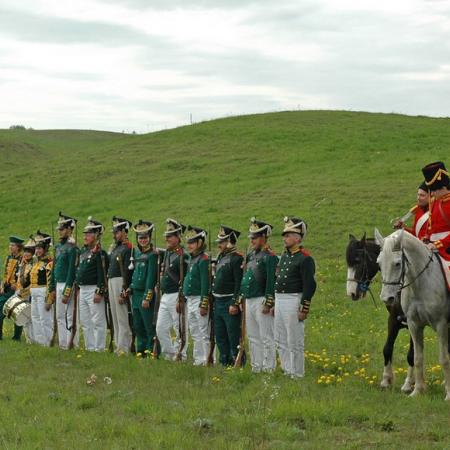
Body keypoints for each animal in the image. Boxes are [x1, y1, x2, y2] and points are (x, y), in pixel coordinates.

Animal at [374, 229, 450, 400]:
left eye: (397, 263)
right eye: (379, 264)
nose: (387, 298)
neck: (421, 284)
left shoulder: (441, 325)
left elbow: (444, 359)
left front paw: (449, 394)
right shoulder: (414, 324)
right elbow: (417, 357)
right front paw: (418, 390)